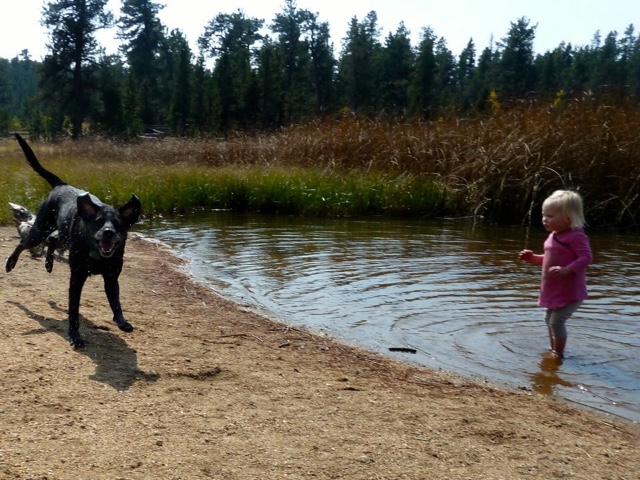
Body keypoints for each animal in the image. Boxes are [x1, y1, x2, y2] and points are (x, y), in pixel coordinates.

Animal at [5, 134, 141, 348]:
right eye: (98, 222)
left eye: (118, 223)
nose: (108, 232)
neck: (96, 256)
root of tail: (61, 184)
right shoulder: (77, 278)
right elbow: (74, 311)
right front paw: (75, 336)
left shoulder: (111, 277)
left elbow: (116, 301)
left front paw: (121, 321)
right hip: (41, 228)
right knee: (24, 243)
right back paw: (11, 263)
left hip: (63, 235)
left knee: (52, 241)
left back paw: (49, 264)